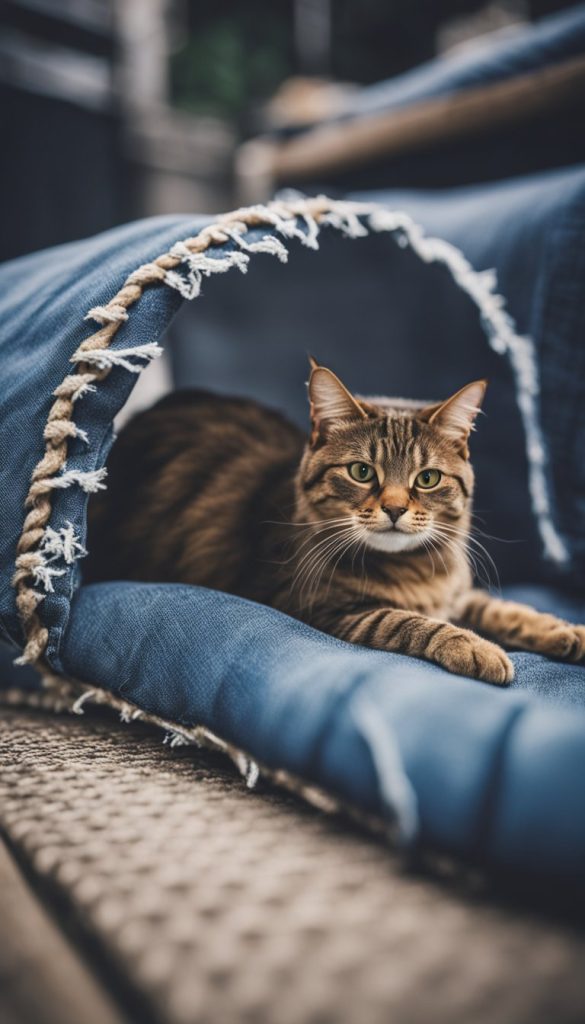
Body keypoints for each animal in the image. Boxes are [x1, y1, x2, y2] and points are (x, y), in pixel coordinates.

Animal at [86, 362, 585, 688]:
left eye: (427, 479)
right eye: (362, 472)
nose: (395, 508)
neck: (416, 572)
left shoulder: (459, 594)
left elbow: (502, 609)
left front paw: (566, 631)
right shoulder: (321, 606)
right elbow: (408, 620)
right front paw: (476, 647)